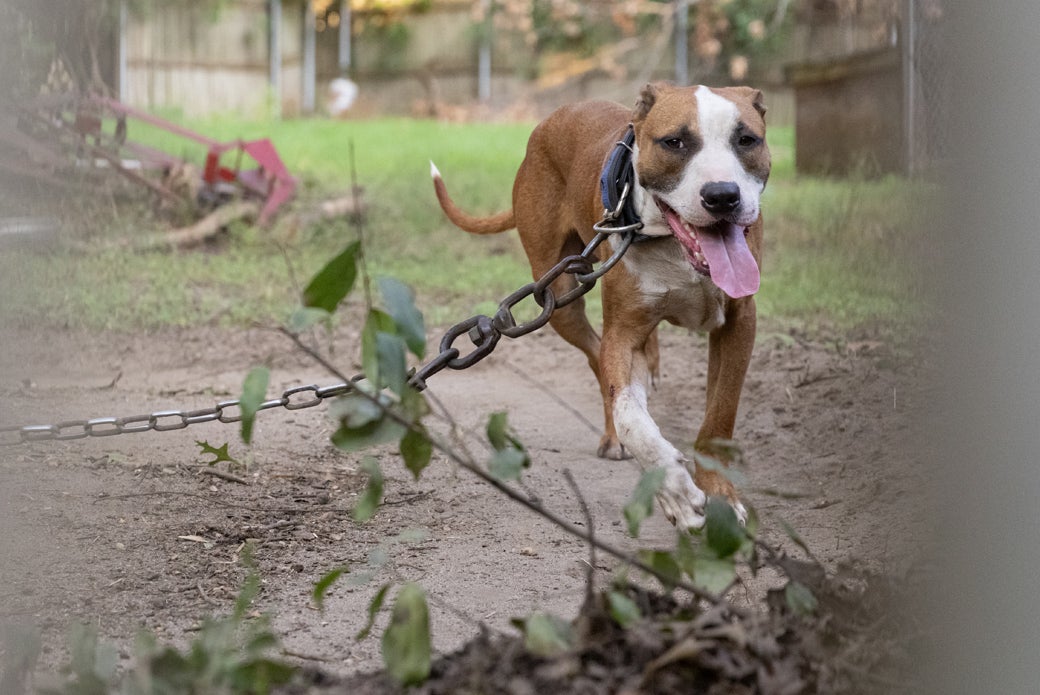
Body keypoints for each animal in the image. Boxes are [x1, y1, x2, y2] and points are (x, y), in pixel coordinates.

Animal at [430, 82, 769, 530]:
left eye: (747, 140)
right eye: (674, 142)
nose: (722, 196)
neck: (673, 248)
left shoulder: (740, 323)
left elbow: (719, 416)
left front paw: (719, 496)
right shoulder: (621, 335)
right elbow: (629, 416)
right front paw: (675, 491)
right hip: (556, 297)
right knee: (595, 355)